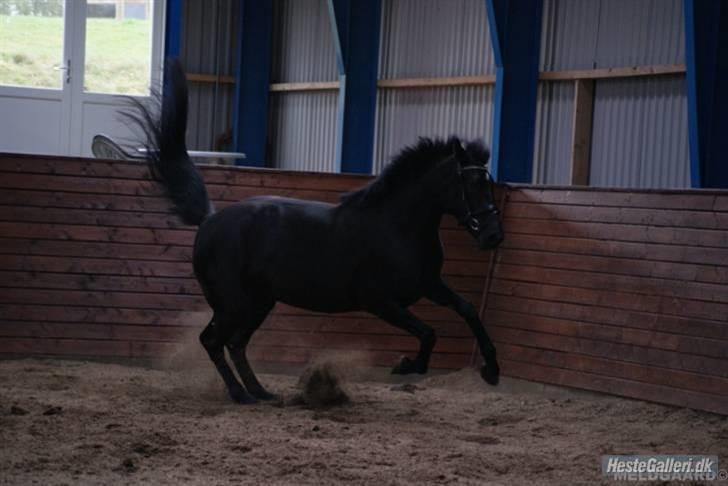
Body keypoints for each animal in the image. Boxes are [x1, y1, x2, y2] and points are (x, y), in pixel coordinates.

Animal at [131, 60, 504, 402]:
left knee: (235, 343)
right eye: (471, 183)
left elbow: (468, 310)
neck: (396, 226)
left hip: (257, 302)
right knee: (213, 341)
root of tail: (209, 220)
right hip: (232, 302)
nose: (493, 236)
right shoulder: (380, 301)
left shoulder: (428, 285)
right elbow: (428, 333)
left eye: (489, 182)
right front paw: (406, 365)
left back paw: (260, 392)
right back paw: (240, 394)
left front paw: (491, 371)